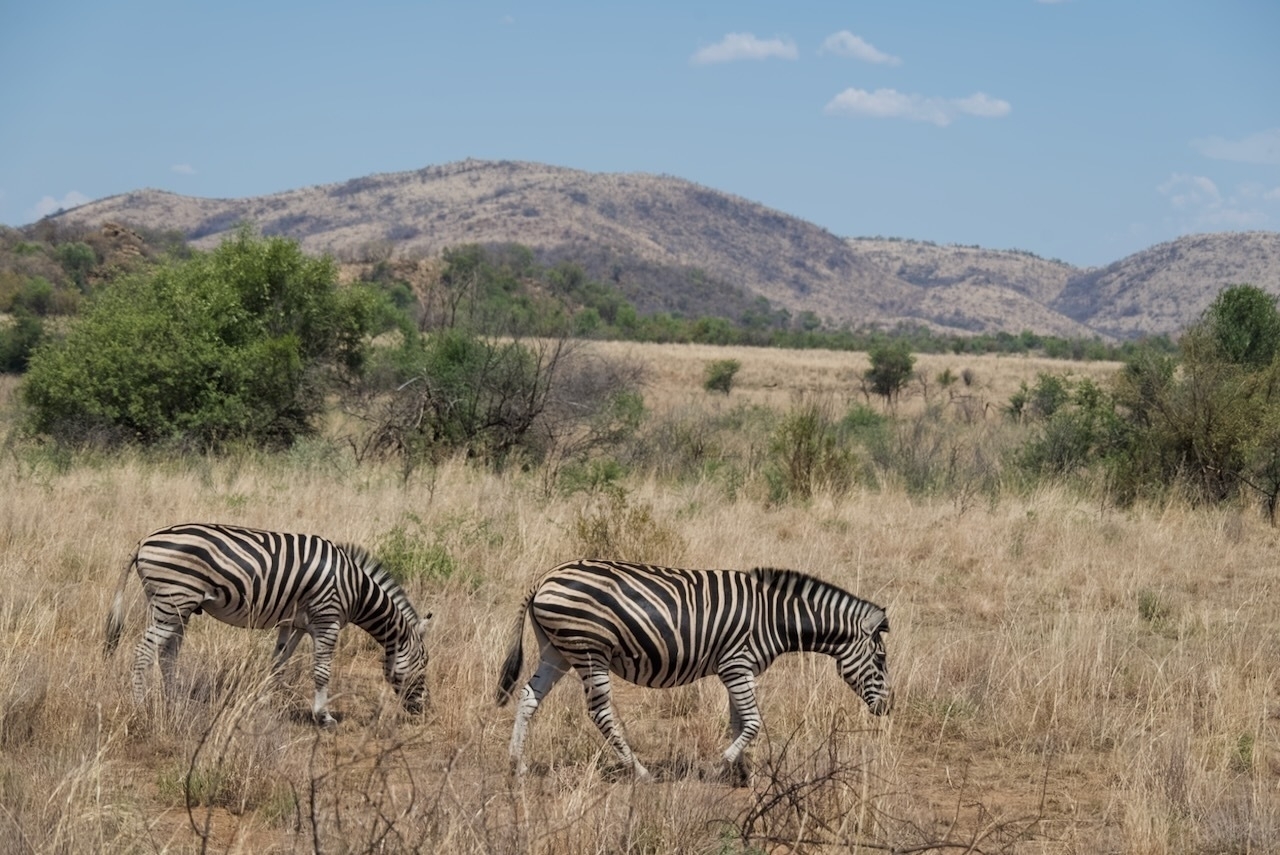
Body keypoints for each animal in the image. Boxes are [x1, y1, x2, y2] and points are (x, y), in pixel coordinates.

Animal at [103, 517, 430, 727]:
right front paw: (323, 716)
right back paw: (140, 705)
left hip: (177, 607)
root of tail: (145, 540)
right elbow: (322, 672)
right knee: (143, 652)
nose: (424, 710)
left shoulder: (295, 624)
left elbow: (277, 664)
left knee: (167, 653)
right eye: (425, 663)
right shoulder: (327, 619)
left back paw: (174, 701)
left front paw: (261, 703)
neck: (356, 589)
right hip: (173, 600)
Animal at [494, 560, 896, 783]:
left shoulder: (738, 669)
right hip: (589, 649)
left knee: (529, 697)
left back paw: (517, 764)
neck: (775, 618)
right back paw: (639, 771)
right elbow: (753, 723)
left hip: (558, 651)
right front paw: (722, 768)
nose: (888, 709)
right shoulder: (737, 665)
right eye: (880, 659)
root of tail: (545, 578)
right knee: (599, 711)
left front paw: (742, 774)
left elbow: (739, 722)